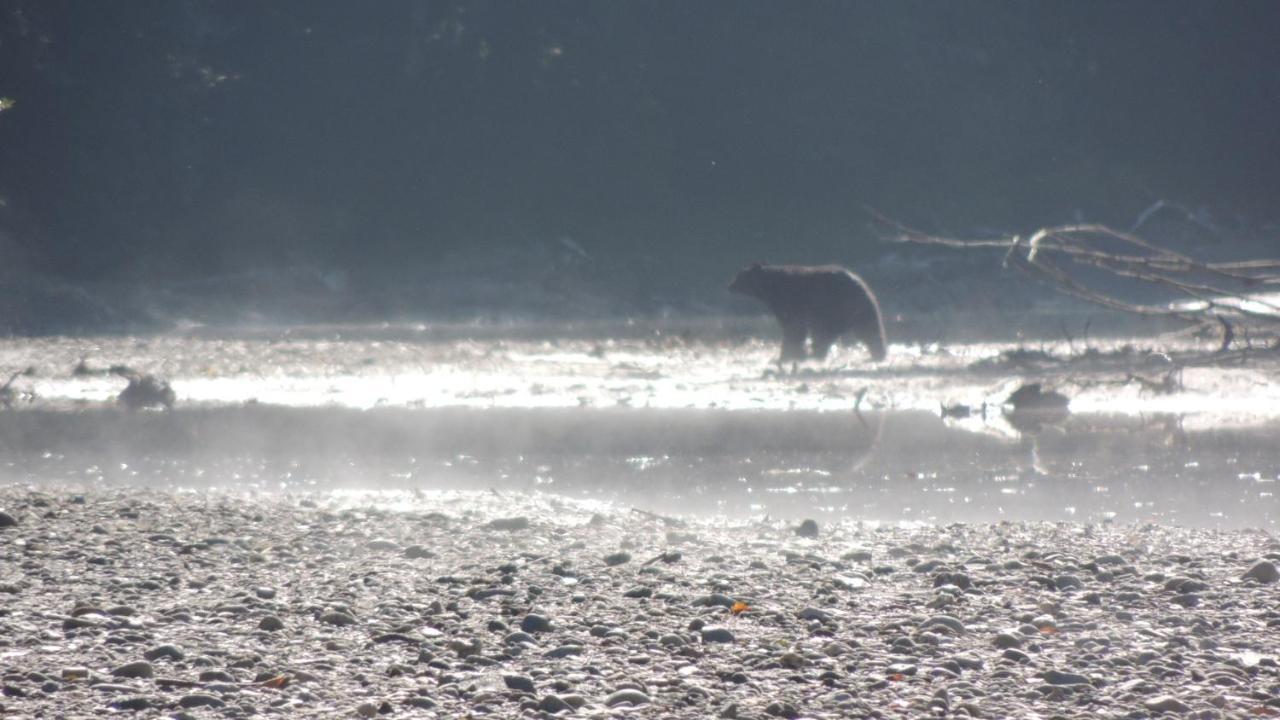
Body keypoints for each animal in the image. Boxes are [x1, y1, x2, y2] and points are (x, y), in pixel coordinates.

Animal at [732, 262, 890, 361]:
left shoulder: (790, 302)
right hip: (856, 312)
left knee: (826, 333)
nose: (729, 285)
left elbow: (793, 328)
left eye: (739, 276)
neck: (771, 288)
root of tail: (864, 287)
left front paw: (788, 354)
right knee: (868, 330)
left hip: (836, 308)